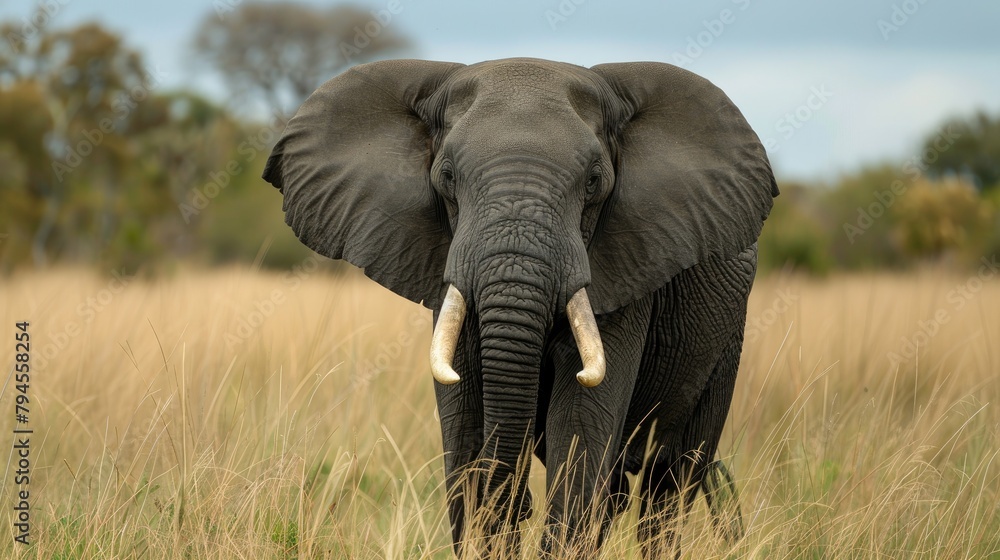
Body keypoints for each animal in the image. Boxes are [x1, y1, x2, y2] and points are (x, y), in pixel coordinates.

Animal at [263, 58, 777, 557]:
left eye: (594, 182)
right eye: (447, 177)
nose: (521, 503)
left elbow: (579, 429)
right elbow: (465, 426)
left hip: (727, 343)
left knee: (670, 481)